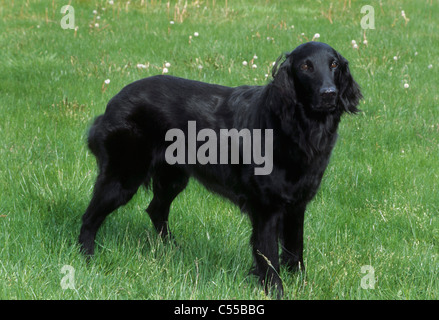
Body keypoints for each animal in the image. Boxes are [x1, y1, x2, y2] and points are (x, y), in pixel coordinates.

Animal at [80, 42, 364, 298]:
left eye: (334, 64)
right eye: (306, 66)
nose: (329, 93)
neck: (297, 127)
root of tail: (113, 102)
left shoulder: (297, 205)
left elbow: (295, 249)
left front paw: (301, 285)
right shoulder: (266, 208)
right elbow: (269, 256)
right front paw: (275, 290)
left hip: (173, 178)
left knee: (155, 210)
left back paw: (173, 250)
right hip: (123, 177)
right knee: (89, 218)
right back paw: (87, 259)